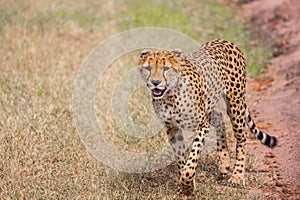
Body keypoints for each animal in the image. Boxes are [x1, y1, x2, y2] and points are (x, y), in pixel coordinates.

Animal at [139, 39, 278, 195]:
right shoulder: (172, 127)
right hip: (211, 105)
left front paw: (187, 185)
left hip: (235, 104)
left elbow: (192, 158)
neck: (170, 95)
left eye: (166, 68)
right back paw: (224, 162)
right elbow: (181, 159)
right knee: (219, 117)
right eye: (148, 68)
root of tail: (224, 41)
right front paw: (184, 185)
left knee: (241, 138)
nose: (155, 83)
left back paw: (237, 176)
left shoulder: (202, 124)